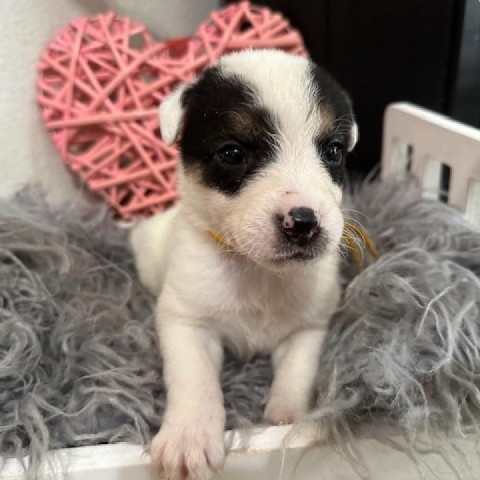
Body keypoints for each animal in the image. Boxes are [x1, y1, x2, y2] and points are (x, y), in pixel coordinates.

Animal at [130, 49, 356, 480]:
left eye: (333, 152)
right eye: (232, 154)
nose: (304, 223)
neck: (257, 271)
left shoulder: (309, 327)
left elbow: (297, 371)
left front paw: (287, 419)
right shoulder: (188, 323)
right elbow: (195, 378)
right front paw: (189, 437)